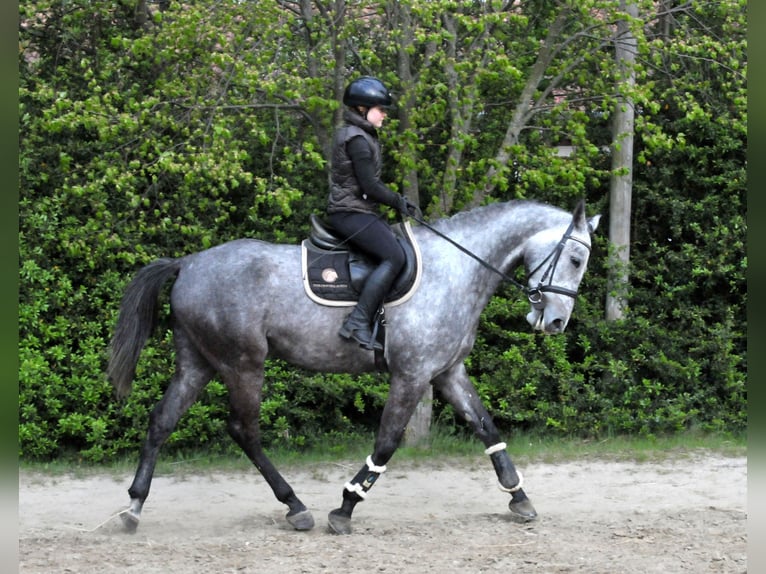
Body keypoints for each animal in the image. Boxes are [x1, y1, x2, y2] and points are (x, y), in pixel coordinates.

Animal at [107, 198, 600, 535]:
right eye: (576, 259)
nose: (555, 322)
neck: (456, 268)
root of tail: (188, 263)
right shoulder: (411, 375)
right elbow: (386, 443)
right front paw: (345, 506)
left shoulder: (447, 372)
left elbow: (487, 429)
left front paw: (520, 498)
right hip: (242, 363)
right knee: (243, 430)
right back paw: (295, 505)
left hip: (198, 363)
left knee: (162, 420)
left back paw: (134, 507)